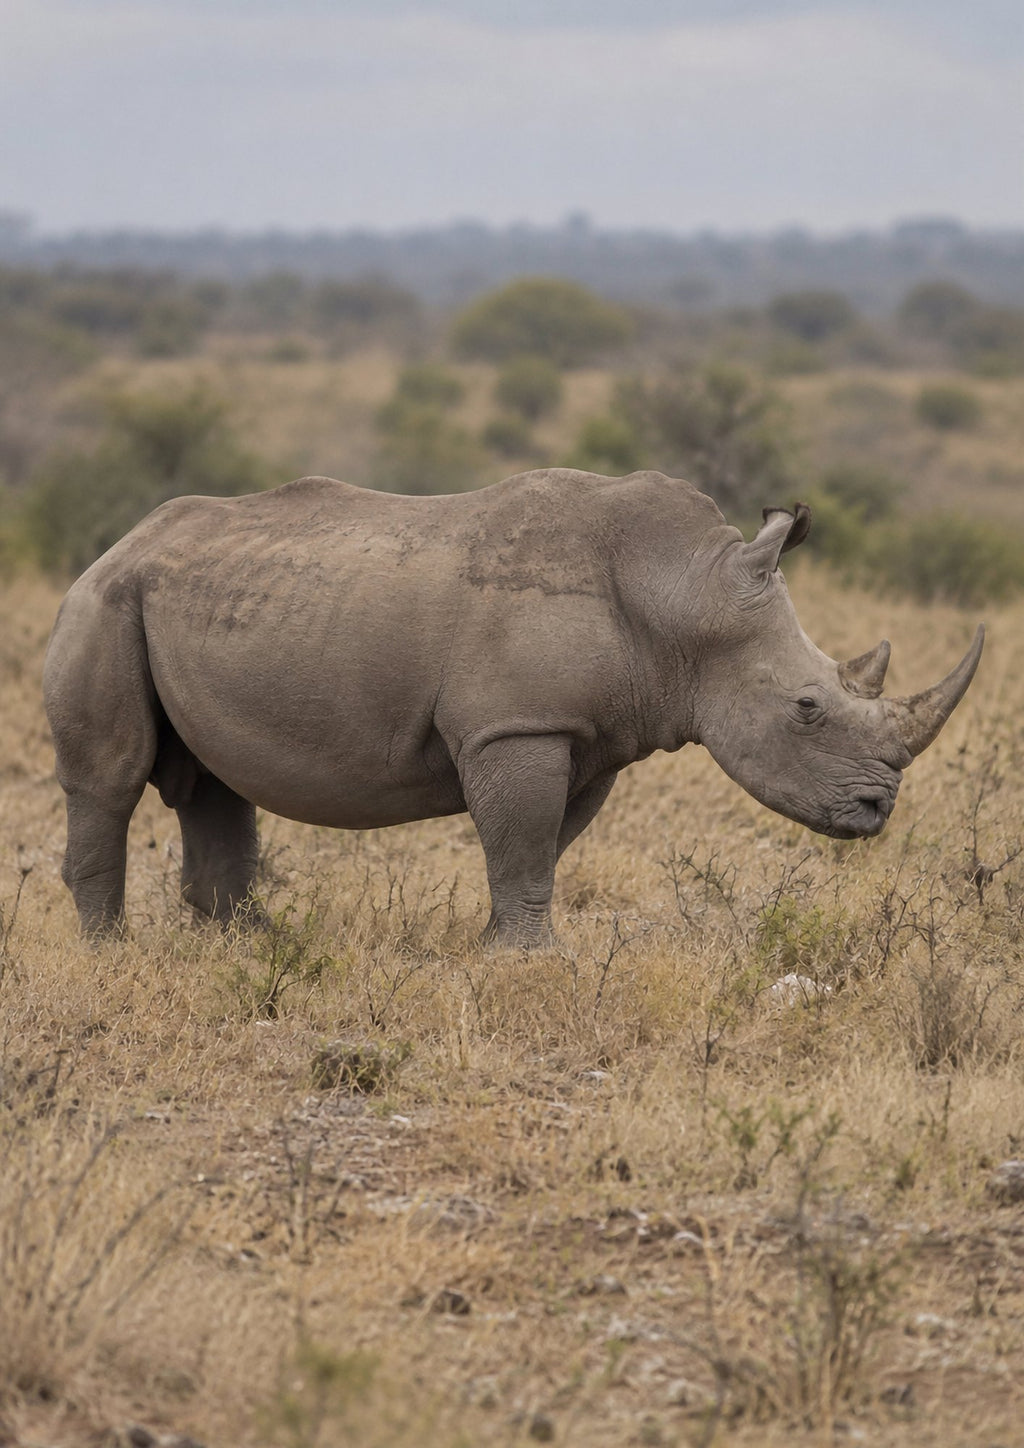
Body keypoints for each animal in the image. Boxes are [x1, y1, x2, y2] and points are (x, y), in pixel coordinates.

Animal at [43, 468, 983, 946]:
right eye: (807, 706)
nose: (878, 810)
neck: (684, 594)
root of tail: (116, 544)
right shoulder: (518, 725)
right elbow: (523, 839)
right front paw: (530, 960)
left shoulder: (586, 734)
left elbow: (539, 845)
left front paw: (500, 948)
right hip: (103, 604)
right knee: (110, 780)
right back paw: (112, 954)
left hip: (180, 601)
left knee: (213, 785)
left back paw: (251, 947)